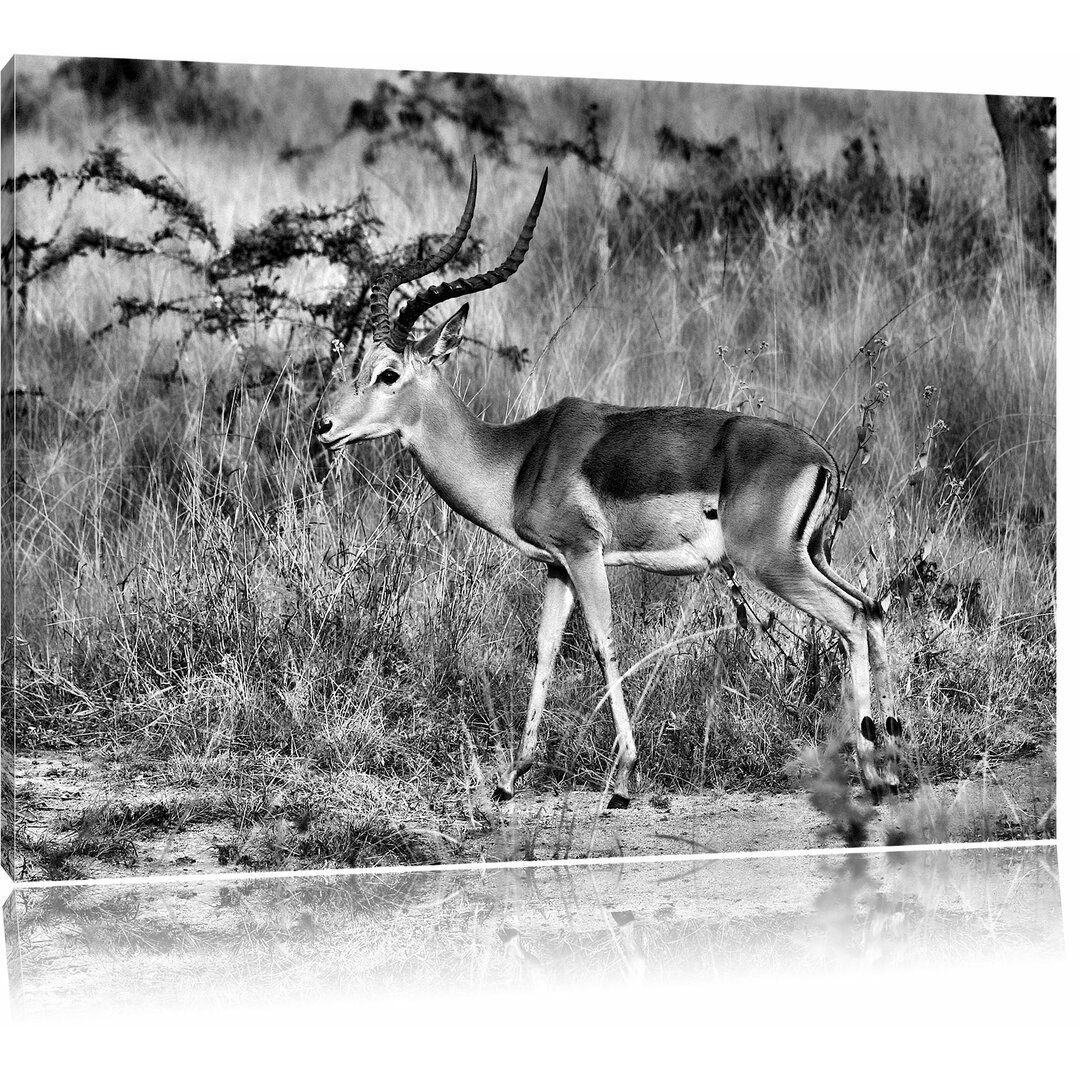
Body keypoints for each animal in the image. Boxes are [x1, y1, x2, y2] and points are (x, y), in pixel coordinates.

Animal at [315, 162, 902, 812]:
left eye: (388, 373)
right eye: (354, 365)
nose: (324, 427)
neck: (519, 458)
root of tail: (823, 459)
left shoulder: (584, 552)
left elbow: (603, 643)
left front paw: (622, 779)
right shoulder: (555, 565)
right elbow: (545, 651)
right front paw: (510, 777)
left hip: (773, 564)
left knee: (850, 620)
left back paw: (872, 775)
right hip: (813, 556)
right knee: (872, 609)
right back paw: (887, 767)